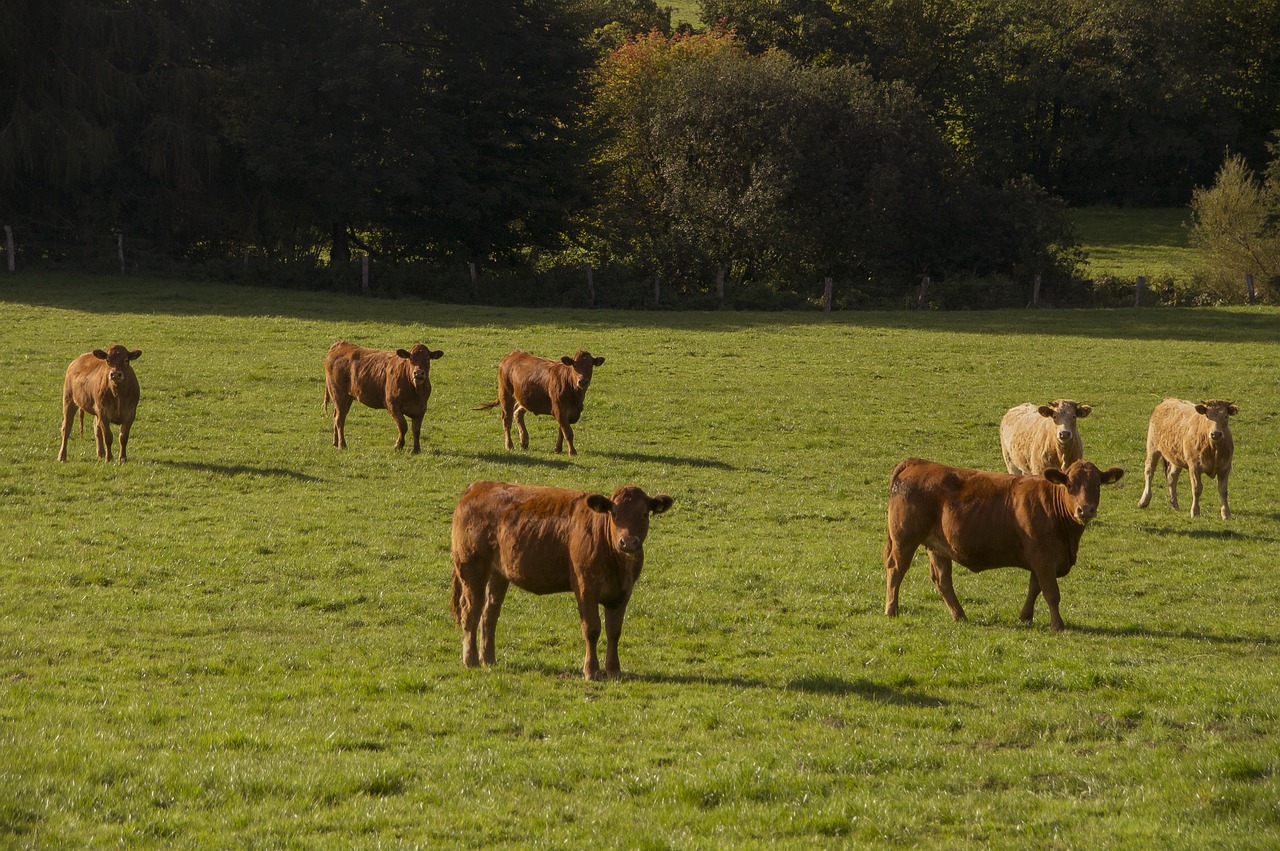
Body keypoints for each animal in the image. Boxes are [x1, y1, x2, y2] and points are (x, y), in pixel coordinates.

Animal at [450, 481, 675, 680]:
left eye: (644, 514)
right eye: (615, 514)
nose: (628, 542)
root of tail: (478, 487)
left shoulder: (623, 592)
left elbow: (614, 631)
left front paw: (614, 670)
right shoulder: (585, 588)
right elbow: (592, 629)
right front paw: (591, 670)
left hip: (498, 574)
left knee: (489, 614)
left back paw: (489, 659)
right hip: (471, 569)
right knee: (471, 612)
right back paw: (471, 660)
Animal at [476, 350, 604, 458]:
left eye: (590, 365)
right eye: (574, 365)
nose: (583, 381)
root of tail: (513, 354)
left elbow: (561, 431)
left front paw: (557, 449)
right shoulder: (559, 410)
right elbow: (567, 432)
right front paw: (572, 452)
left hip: (525, 398)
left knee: (518, 412)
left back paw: (524, 441)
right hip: (505, 395)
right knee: (506, 420)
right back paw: (509, 445)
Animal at [885, 458, 1126, 629]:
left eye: (1097, 484)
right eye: (1070, 484)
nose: (1085, 510)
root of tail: (917, 463)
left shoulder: (1040, 558)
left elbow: (1034, 588)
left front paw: (1025, 617)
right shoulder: (1043, 557)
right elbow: (1051, 592)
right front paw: (1057, 625)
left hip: (937, 547)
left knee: (942, 580)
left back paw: (960, 615)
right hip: (904, 540)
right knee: (896, 570)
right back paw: (891, 610)